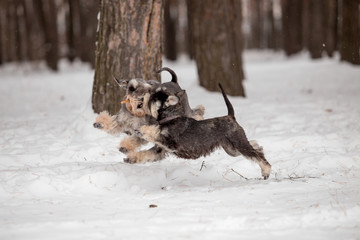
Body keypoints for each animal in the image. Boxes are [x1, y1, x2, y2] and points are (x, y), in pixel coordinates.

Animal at [137, 83, 270, 179]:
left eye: (154, 96)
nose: (143, 95)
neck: (171, 116)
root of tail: (230, 116)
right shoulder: (164, 147)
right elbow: (150, 152)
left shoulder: (169, 141)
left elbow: (154, 131)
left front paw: (142, 129)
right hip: (232, 150)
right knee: (255, 148)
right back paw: (258, 147)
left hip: (238, 144)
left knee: (256, 154)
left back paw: (266, 171)